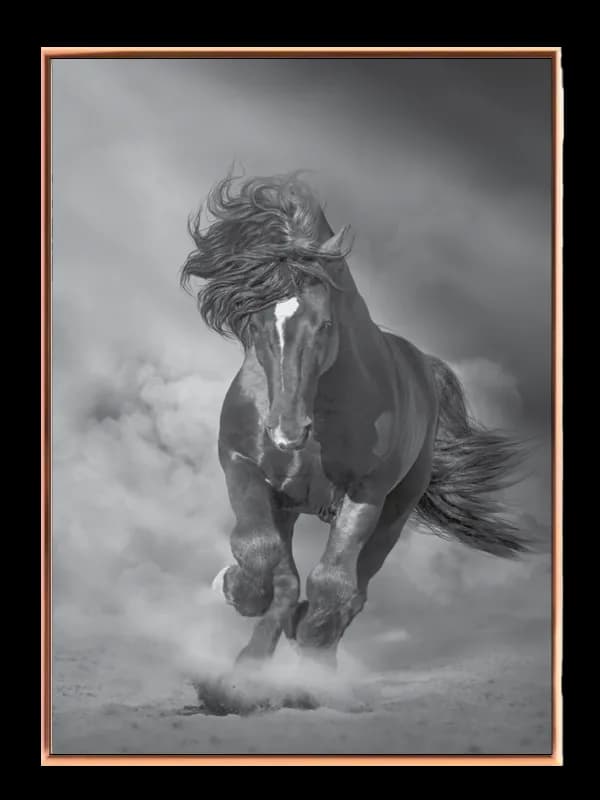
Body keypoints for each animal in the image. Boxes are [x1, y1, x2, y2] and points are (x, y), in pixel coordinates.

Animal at [180, 171, 527, 696]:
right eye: (256, 323)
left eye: (324, 324)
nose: (286, 432)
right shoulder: (243, 466)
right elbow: (262, 555)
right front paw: (234, 592)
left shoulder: (366, 492)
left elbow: (332, 585)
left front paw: (311, 654)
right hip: (289, 505)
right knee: (289, 580)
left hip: (395, 511)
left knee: (353, 589)